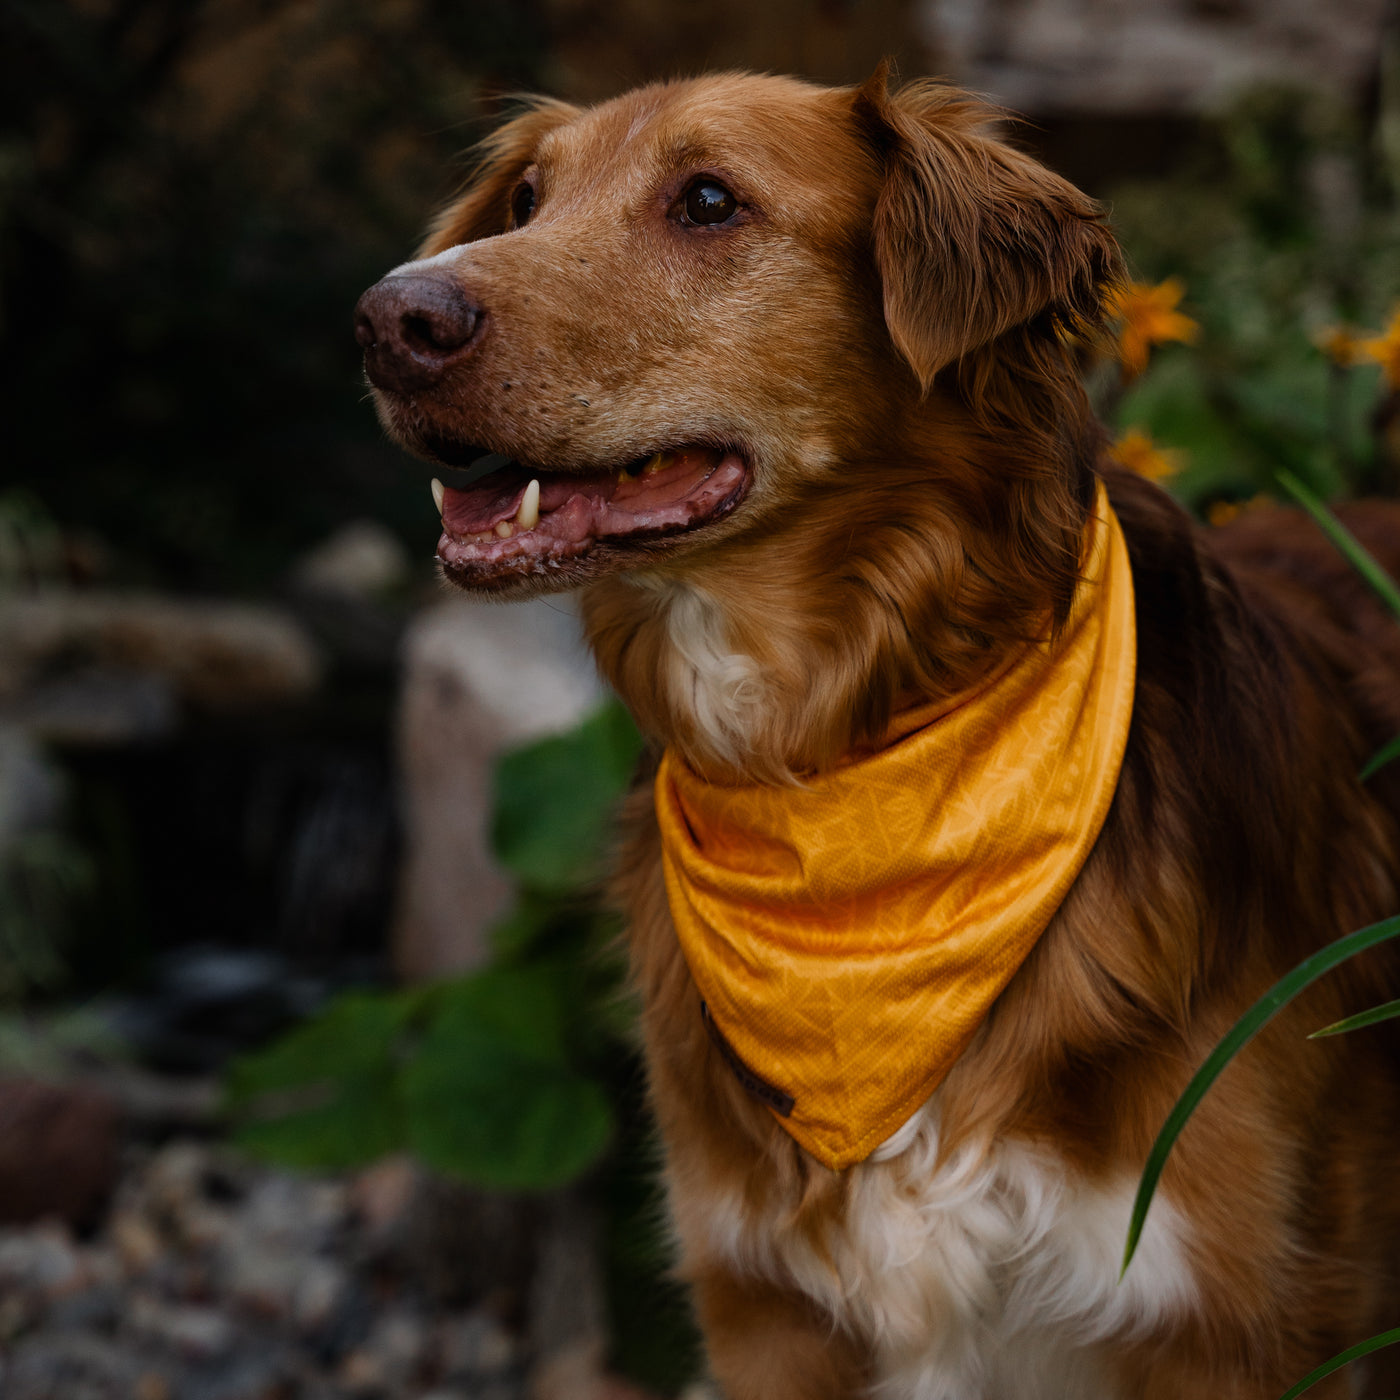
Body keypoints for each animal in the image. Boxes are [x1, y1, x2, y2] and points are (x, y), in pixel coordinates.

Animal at [355, 71, 1400, 1400]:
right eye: (527, 199)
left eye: (708, 202)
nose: (386, 320)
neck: (838, 766)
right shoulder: (766, 1314)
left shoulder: (1239, 1325)